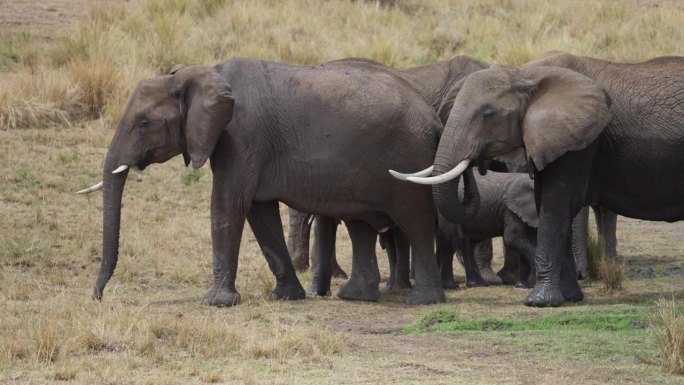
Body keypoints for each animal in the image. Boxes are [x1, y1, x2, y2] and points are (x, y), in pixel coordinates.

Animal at [76, 56, 448, 306]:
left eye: (144, 123)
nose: (97, 297)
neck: (202, 74)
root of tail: (434, 118)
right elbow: (259, 211)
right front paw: (286, 297)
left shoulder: (242, 134)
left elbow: (229, 203)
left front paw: (216, 302)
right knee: (361, 225)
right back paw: (355, 297)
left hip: (409, 158)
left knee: (415, 221)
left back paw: (424, 300)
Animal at [392, 52, 684, 308]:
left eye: (488, 114)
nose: (476, 163)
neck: (526, 75)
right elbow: (551, 206)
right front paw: (569, 298)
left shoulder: (579, 140)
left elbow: (557, 205)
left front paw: (539, 302)